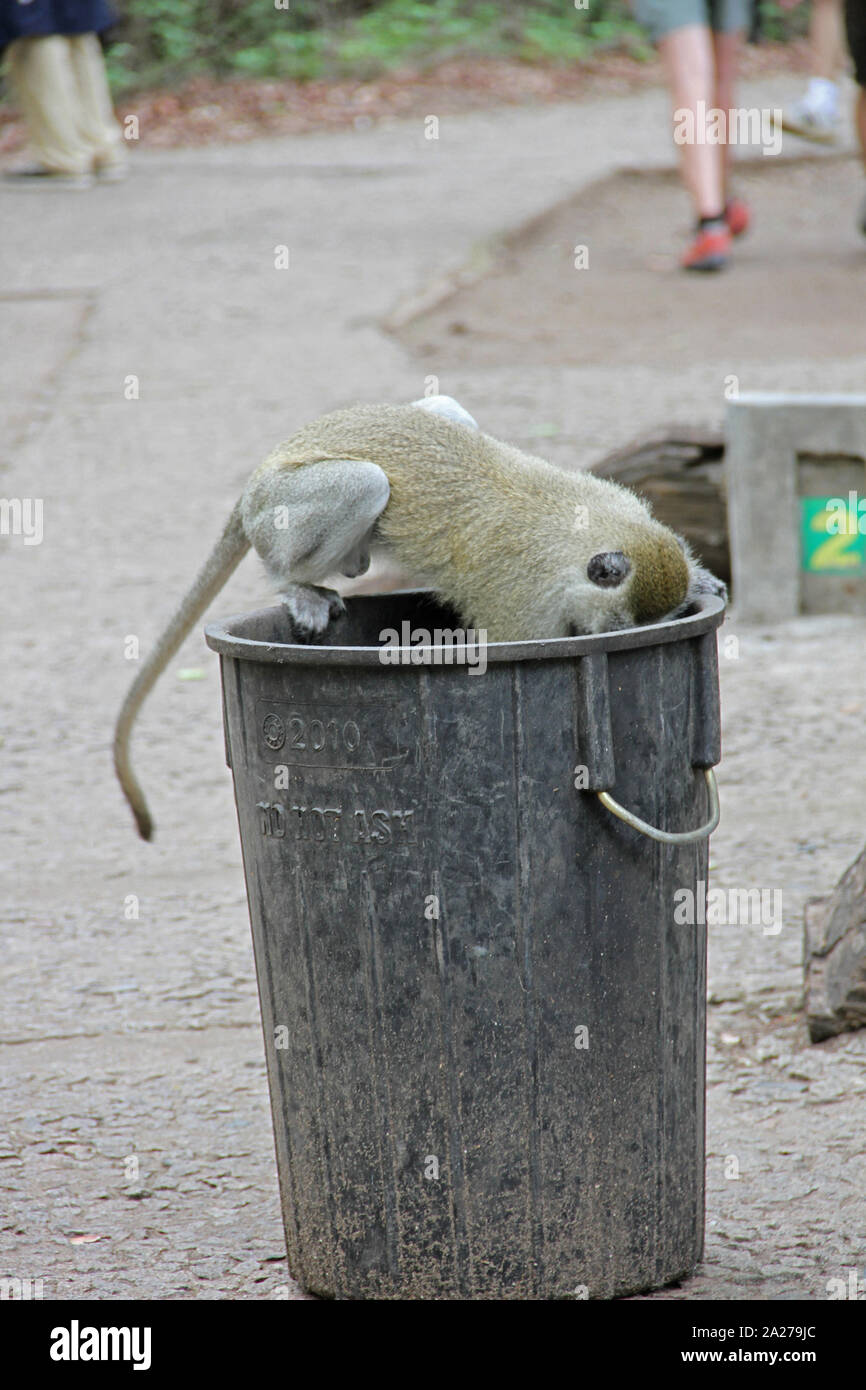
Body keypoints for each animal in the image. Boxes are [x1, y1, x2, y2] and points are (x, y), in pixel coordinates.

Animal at [114, 396, 725, 839]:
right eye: (618, 632)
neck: (580, 536)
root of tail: (256, 479)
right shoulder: (521, 597)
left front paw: (699, 578)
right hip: (278, 508)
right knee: (364, 484)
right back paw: (293, 583)